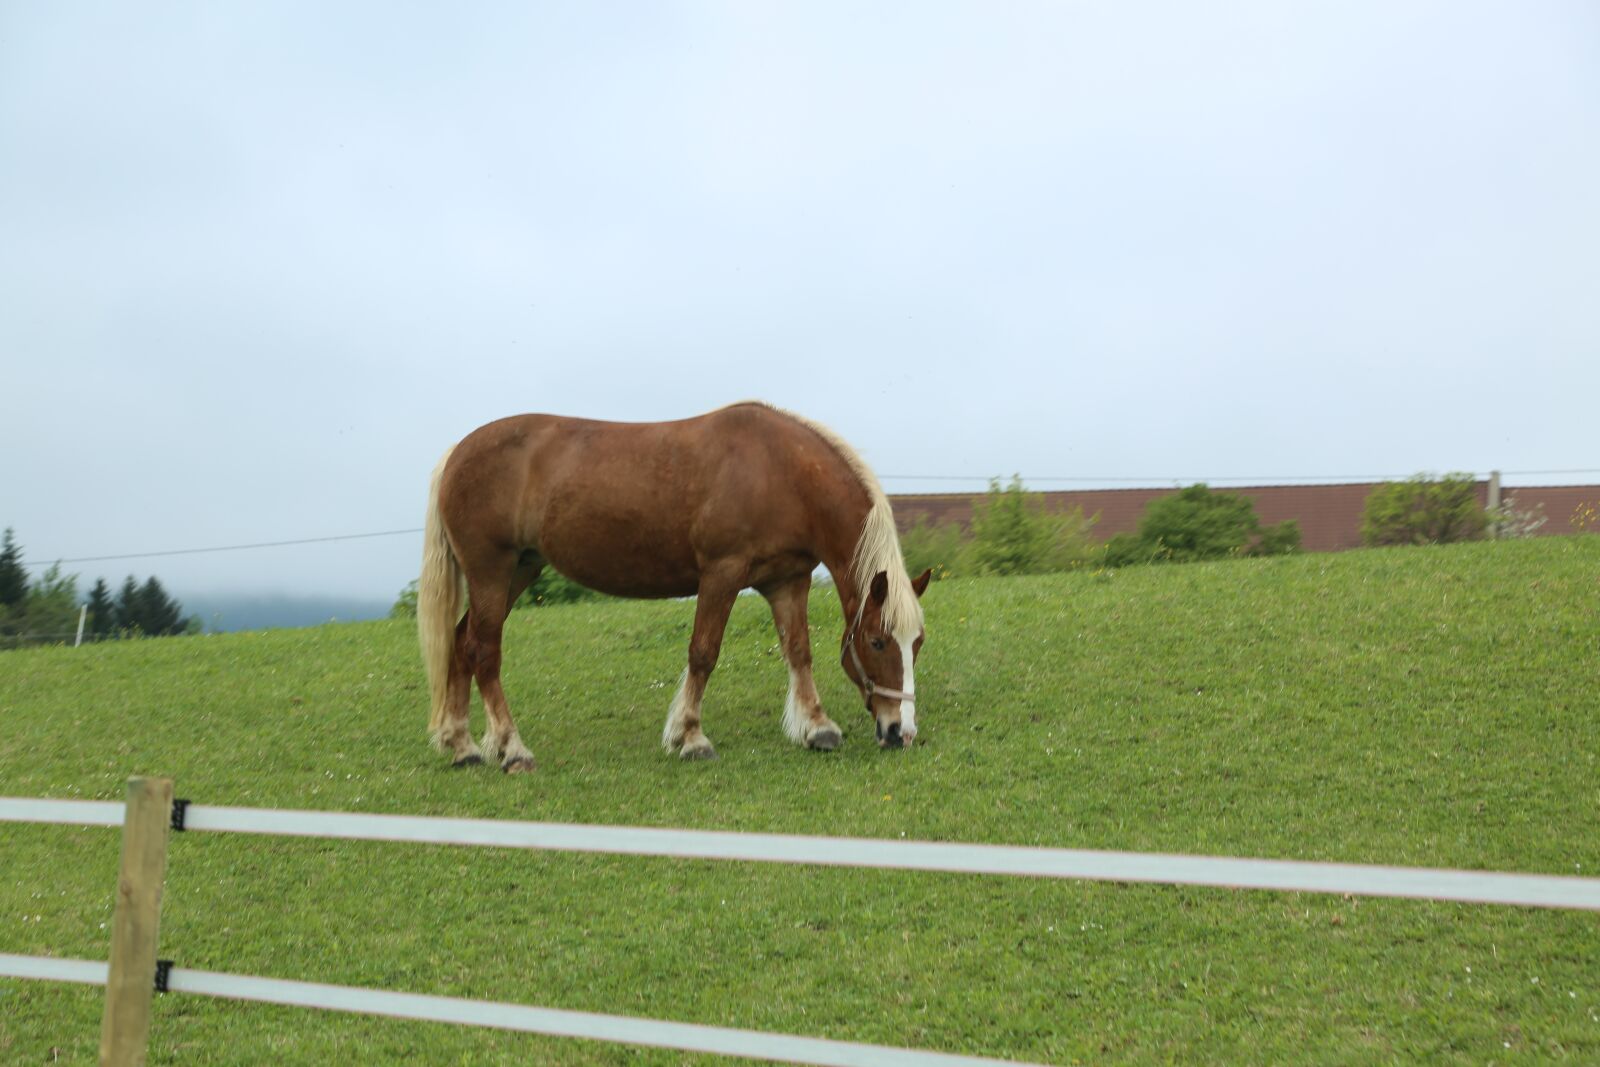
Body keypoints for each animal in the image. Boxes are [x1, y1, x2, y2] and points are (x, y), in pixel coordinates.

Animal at [417, 401, 932, 771]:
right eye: (877, 641)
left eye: (918, 644)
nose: (901, 732)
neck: (778, 469)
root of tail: (456, 454)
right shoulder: (722, 573)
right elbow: (703, 653)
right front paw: (690, 737)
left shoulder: (787, 580)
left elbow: (799, 651)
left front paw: (817, 727)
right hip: (491, 570)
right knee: (484, 651)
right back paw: (512, 749)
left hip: (519, 571)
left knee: (461, 644)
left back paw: (463, 747)